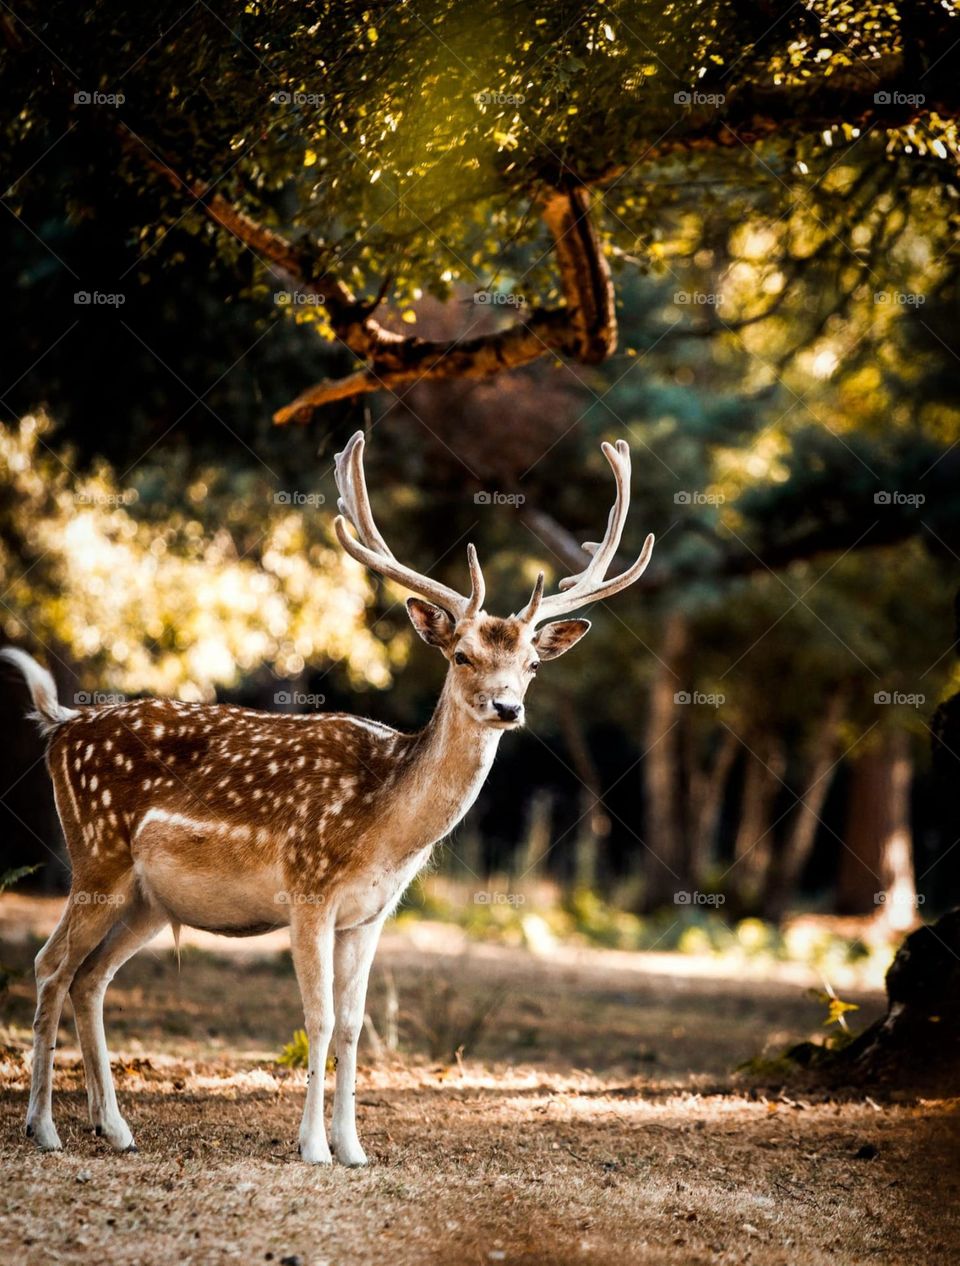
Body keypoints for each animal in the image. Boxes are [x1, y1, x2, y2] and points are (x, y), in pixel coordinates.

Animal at [1, 432, 653, 1164]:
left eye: (533, 665)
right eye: (460, 654)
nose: (507, 707)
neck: (384, 830)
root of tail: (60, 725)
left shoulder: (370, 915)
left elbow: (353, 1022)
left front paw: (353, 1147)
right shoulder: (307, 889)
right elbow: (317, 1016)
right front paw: (313, 1145)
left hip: (147, 898)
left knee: (90, 977)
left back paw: (113, 1128)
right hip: (96, 856)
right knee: (50, 965)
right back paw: (44, 1127)